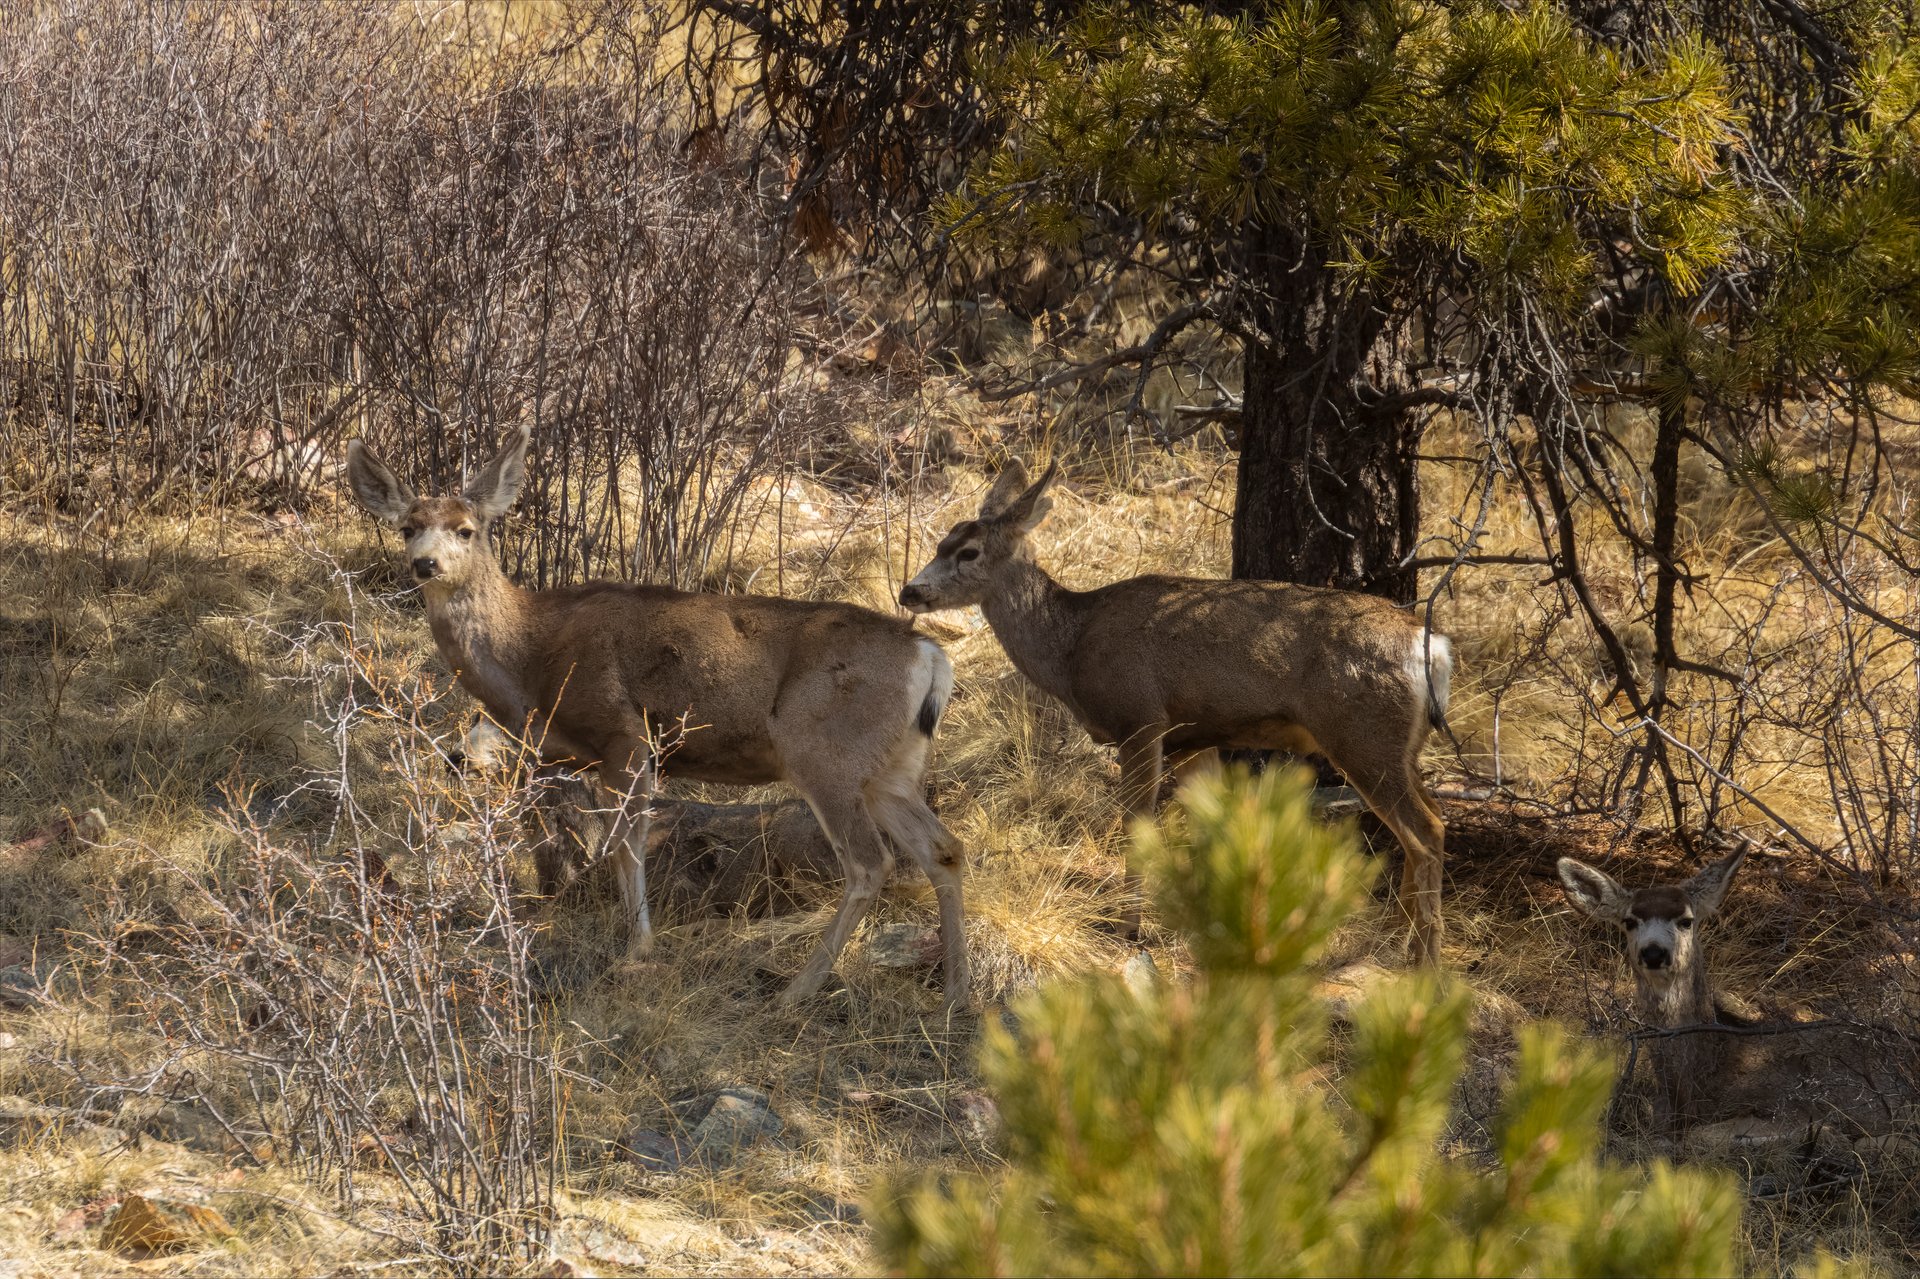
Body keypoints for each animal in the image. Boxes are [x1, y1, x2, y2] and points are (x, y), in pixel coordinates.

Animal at [346, 427, 970, 1009]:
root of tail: (930, 656)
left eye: (465, 530)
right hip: (891, 768)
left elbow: (627, 844)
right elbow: (607, 842)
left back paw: (798, 989)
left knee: (868, 864)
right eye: (407, 527)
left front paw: (639, 949)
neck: (529, 655)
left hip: (824, 751)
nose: (424, 564)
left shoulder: (625, 734)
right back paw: (956, 991)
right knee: (943, 849)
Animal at [899, 460, 1455, 964]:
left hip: (1362, 734)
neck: (1071, 649)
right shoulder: (1193, 738)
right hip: (1399, 744)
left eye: (968, 551)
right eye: (942, 542)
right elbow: (1215, 826)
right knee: (1432, 819)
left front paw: (1127, 926)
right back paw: (1401, 941)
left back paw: (1425, 960)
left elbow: (1136, 822)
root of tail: (1429, 647)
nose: (910, 590)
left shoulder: (1141, 720)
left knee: (1425, 829)